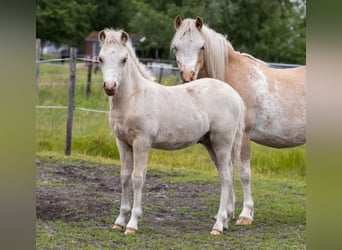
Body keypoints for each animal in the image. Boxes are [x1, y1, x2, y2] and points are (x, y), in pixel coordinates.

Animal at [98, 28, 246, 234]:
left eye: (124, 59)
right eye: (100, 58)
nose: (110, 87)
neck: (133, 97)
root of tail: (235, 95)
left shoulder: (142, 142)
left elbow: (137, 178)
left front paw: (132, 224)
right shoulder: (122, 142)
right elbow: (125, 178)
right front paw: (119, 221)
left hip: (222, 142)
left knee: (225, 177)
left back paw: (217, 226)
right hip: (210, 143)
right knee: (228, 174)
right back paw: (224, 221)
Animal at [172, 16, 306, 226]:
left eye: (202, 46)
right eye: (175, 47)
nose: (188, 76)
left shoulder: (243, 136)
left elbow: (244, 174)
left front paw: (245, 215)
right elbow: (225, 172)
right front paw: (227, 213)